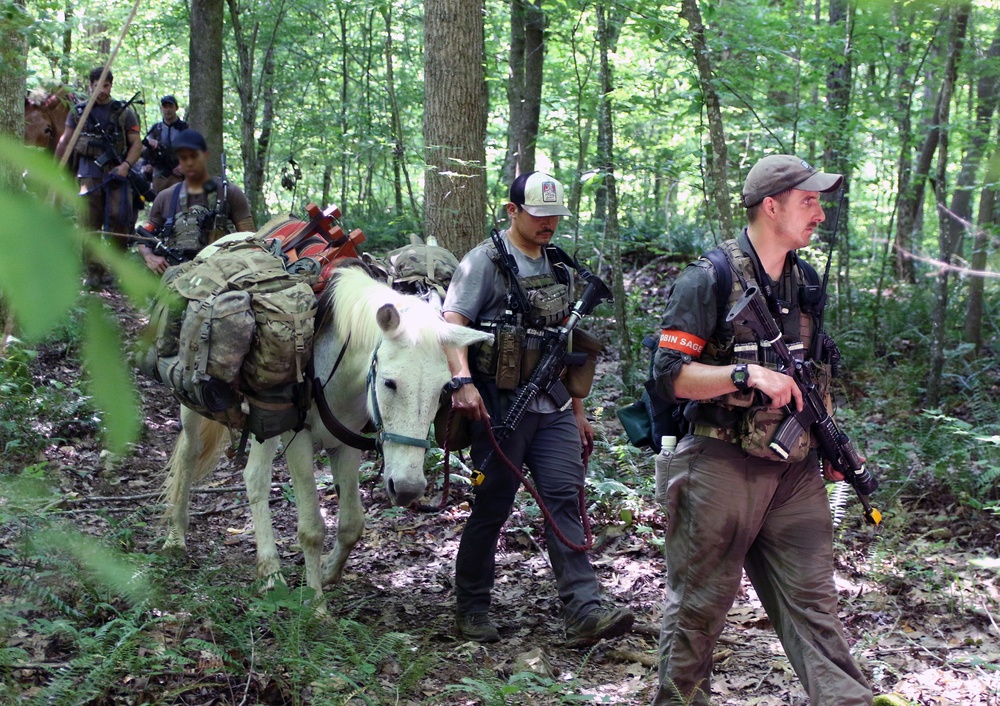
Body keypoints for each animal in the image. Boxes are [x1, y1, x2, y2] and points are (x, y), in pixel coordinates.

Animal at [158, 266, 490, 596]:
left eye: (443, 390)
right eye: (389, 383)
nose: (408, 489)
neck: (334, 369)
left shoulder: (347, 443)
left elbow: (352, 524)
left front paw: (329, 572)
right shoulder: (298, 439)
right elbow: (312, 528)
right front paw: (314, 602)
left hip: (264, 422)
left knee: (254, 477)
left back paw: (269, 570)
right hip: (196, 405)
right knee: (190, 455)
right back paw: (179, 540)